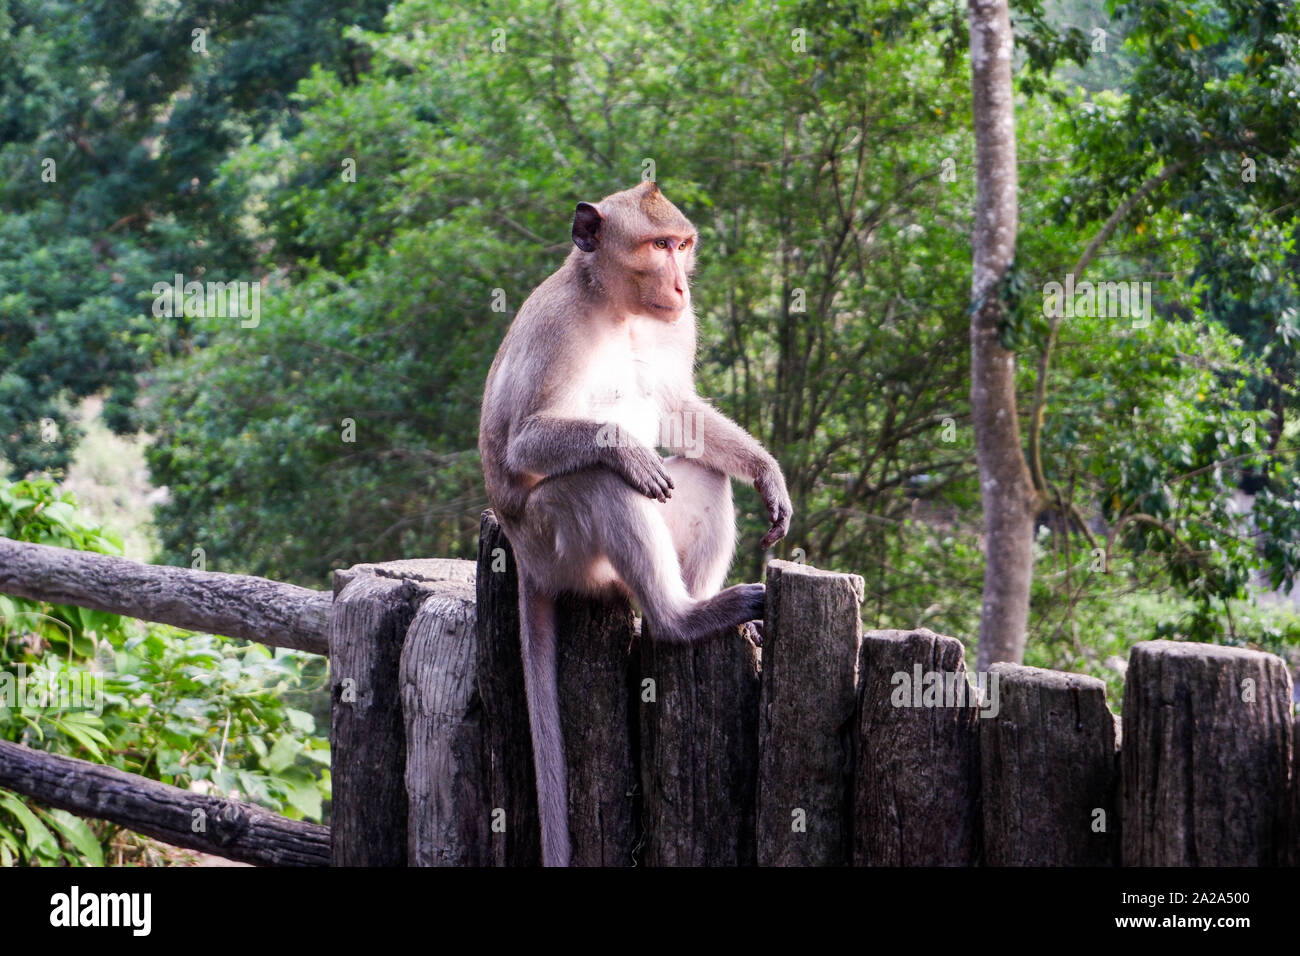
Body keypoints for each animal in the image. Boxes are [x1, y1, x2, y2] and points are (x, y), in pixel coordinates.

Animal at [478, 181, 792, 867]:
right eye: (658, 246)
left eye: (682, 245)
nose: (680, 285)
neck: (617, 309)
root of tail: (521, 554)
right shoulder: (556, 329)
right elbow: (521, 443)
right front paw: (622, 446)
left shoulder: (677, 329)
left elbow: (679, 412)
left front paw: (768, 472)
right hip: (555, 542)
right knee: (604, 486)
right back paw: (678, 621)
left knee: (704, 475)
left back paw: (700, 611)